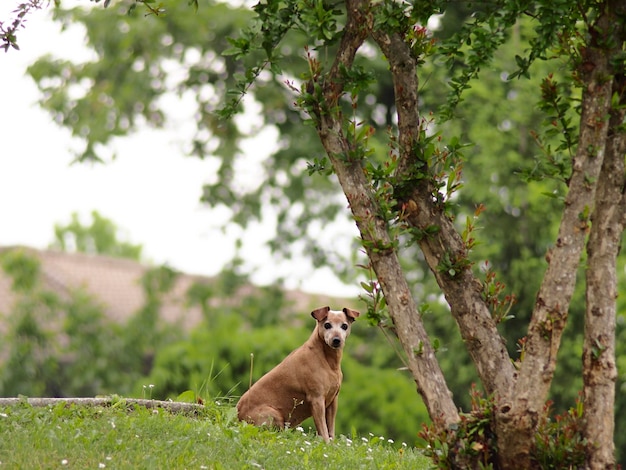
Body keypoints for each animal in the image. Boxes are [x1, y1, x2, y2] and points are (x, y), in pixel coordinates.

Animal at [235, 306, 360, 442]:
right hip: (273, 414)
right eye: (327, 325)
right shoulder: (317, 400)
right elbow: (324, 430)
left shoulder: (333, 401)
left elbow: (330, 430)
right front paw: (326, 444)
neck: (327, 360)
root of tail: (238, 417)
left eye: (344, 326)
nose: (337, 340)